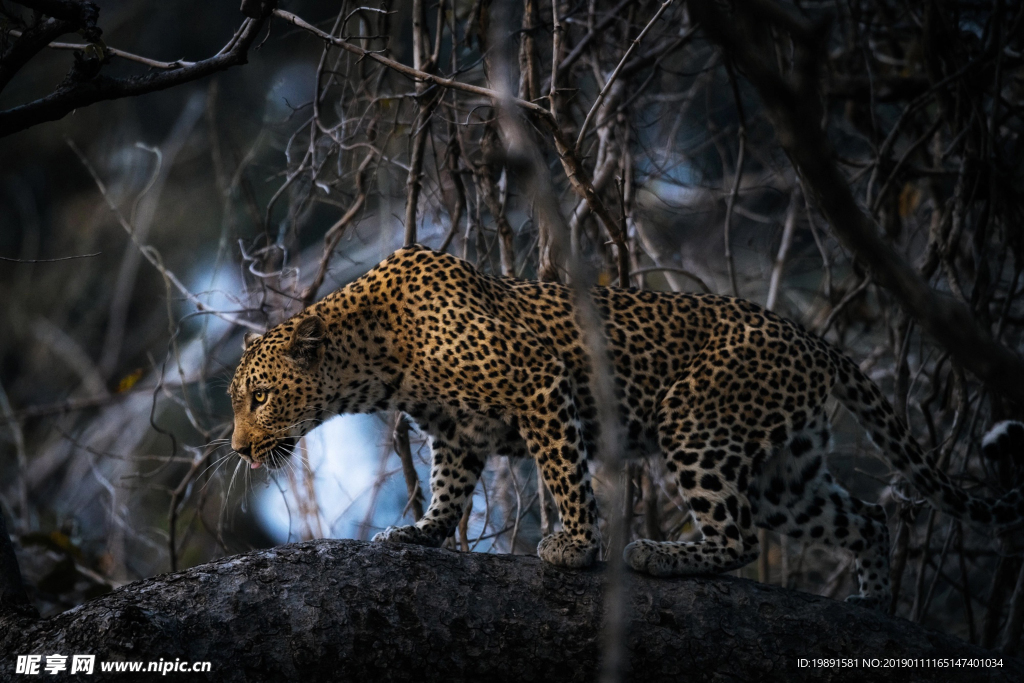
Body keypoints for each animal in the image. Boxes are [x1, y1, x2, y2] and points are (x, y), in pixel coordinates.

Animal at [230, 242, 1024, 606]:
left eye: (259, 397)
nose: (238, 447)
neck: (376, 356)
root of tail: (814, 338)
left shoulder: (540, 382)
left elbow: (564, 474)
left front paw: (575, 546)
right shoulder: (457, 431)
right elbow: (451, 488)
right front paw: (420, 533)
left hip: (696, 422)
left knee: (737, 537)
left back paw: (657, 554)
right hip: (786, 473)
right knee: (864, 517)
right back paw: (871, 604)